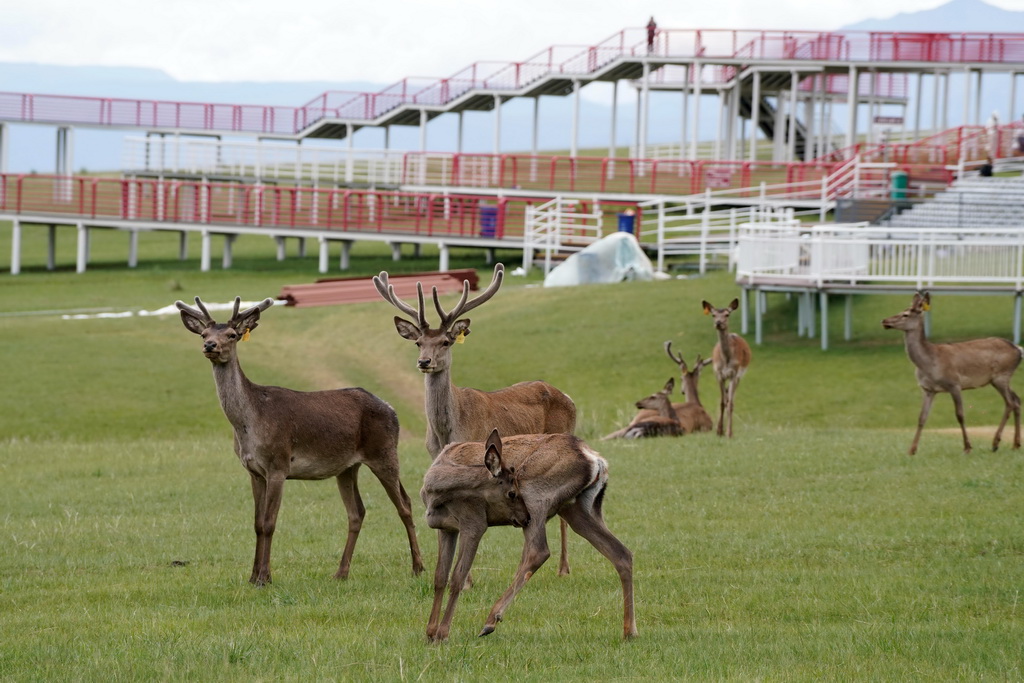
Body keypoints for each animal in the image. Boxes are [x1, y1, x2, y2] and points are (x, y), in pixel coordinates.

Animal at [174, 296, 421, 585]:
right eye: (204, 334)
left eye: (232, 335)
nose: (210, 345)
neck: (248, 423)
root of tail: (392, 409)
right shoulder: (253, 471)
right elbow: (256, 523)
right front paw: (253, 576)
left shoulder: (278, 464)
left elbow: (269, 523)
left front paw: (264, 578)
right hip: (348, 467)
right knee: (357, 512)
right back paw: (341, 573)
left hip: (384, 451)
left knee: (405, 504)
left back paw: (418, 567)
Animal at [374, 264, 581, 573]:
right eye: (419, 343)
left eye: (446, 341)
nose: (424, 362)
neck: (449, 429)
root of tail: (569, 398)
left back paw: (563, 568)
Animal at [419, 430, 634, 643]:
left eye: (513, 492)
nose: (525, 517)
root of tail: (595, 460)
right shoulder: (446, 528)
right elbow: (440, 576)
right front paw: (430, 632)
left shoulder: (474, 523)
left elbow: (457, 576)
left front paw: (442, 634)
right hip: (577, 508)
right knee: (621, 553)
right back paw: (629, 631)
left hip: (536, 497)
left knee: (539, 551)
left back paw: (490, 620)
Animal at [704, 299, 753, 438]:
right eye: (713, 315)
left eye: (727, 314)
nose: (718, 323)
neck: (726, 359)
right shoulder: (719, 374)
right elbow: (722, 402)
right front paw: (719, 431)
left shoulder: (733, 374)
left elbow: (730, 403)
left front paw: (729, 432)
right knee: (725, 398)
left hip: (740, 376)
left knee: (730, 399)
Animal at [880, 290, 1024, 456]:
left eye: (905, 314)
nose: (884, 320)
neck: (929, 363)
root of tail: (1019, 350)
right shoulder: (927, 389)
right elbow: (922, 417)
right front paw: (911, 450)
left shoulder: (954, 383)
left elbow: (960, 415)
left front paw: (967, 447)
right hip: (1002, 378)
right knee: (1017, 400)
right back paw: (1015, 444)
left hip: (1001, 375)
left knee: (1010, 402)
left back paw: (995, 443)